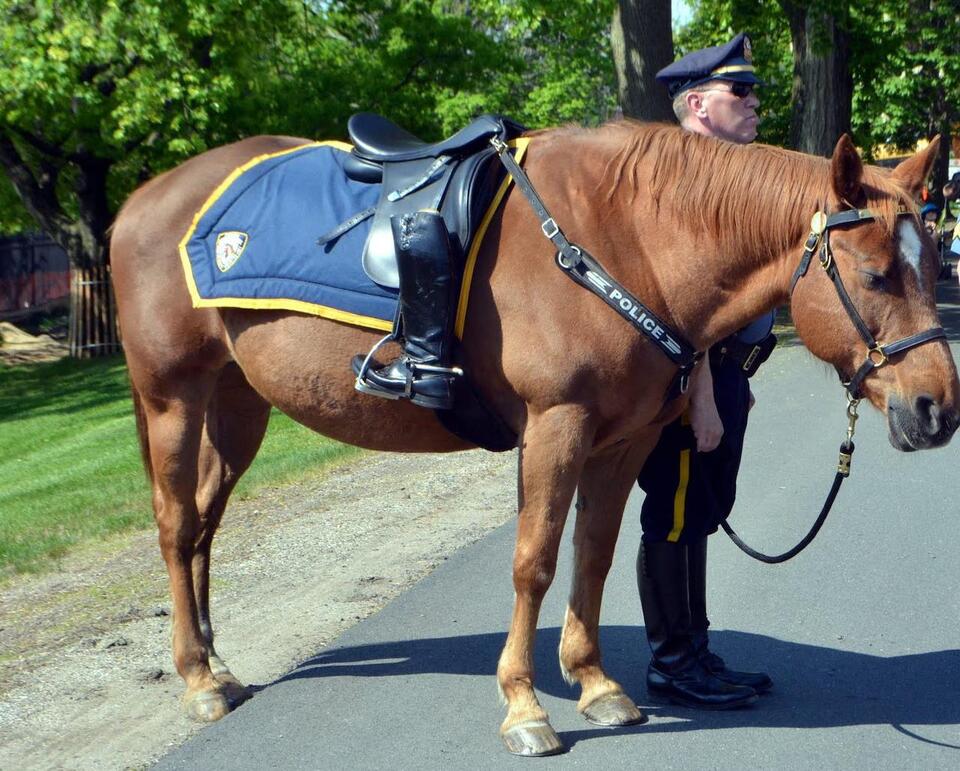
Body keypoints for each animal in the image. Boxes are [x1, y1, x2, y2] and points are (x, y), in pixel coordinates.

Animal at [110, 120, 959, 757]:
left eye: (930, 265)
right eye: (877, 274)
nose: (937, 408)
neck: (626, 242)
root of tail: (145, 201)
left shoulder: (624, 440)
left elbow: (596, 553)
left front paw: (596, 683)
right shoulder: (557, 426)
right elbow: (535, 562)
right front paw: (525, 706)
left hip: (237, 402)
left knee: (204, 527)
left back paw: (216, 659)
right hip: (172, 397)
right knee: (177, 525)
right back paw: (197, 678)